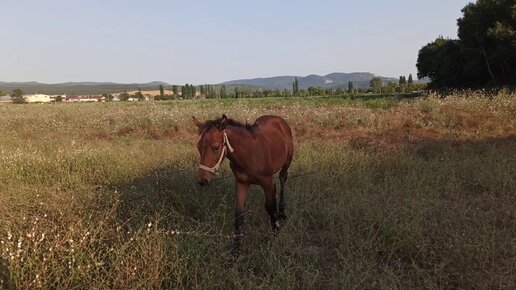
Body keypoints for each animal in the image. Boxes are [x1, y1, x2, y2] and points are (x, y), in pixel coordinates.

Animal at [192, 114, 294, 253]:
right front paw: (236, 250)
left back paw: (282, 213)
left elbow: (270, 208)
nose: (202, 180)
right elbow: (239, 215)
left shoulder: (266, 182)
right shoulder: (241, 183)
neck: (249, 153)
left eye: (215, 147)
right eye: (198, 146)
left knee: (282, 180)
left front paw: (274, 235)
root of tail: (278, 119)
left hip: (286, 163)